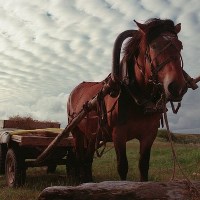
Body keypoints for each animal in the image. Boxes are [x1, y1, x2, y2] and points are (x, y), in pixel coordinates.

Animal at [67, 18, 188, 183]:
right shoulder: (118, 134)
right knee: (79, 157)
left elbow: (143, 165)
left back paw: (88, 180)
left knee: (87, 158)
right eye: (154, 46)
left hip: (92, 135)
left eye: (180, 45)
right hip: (76, 132)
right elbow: (122, 166)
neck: (137, 98)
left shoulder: (149, 134)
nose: (177, 87)